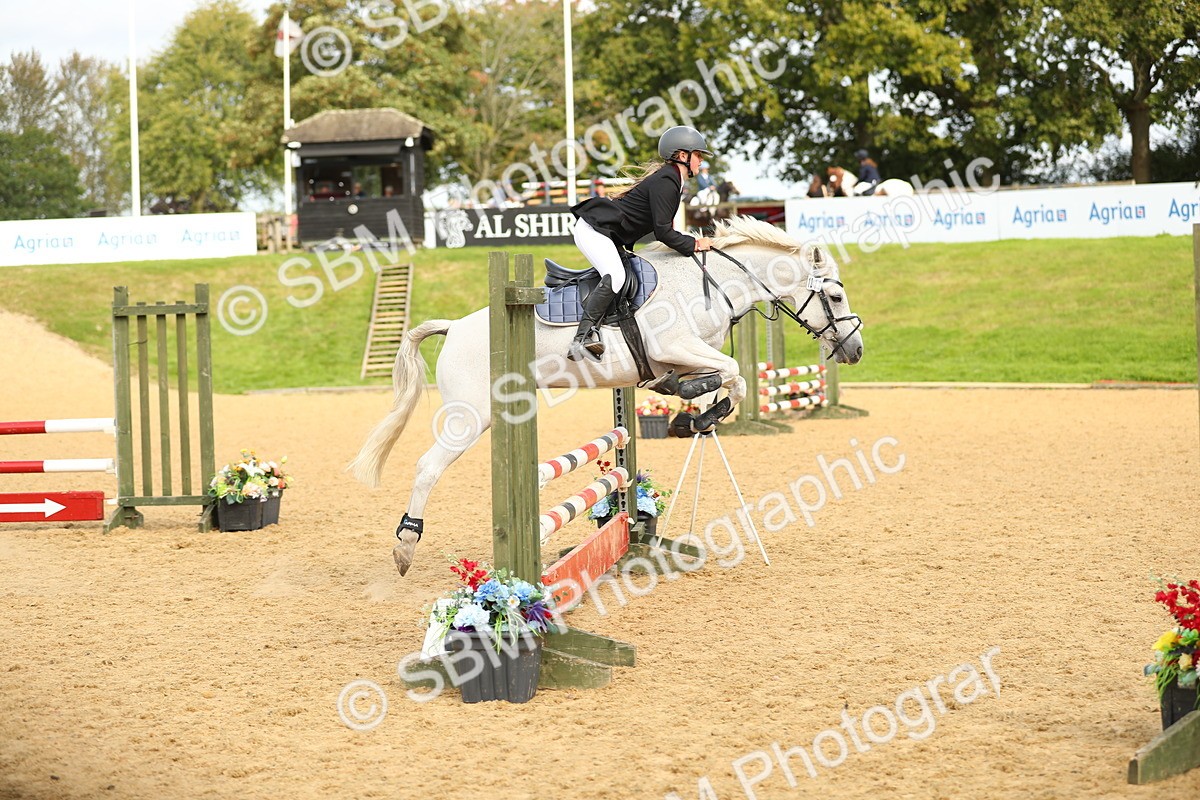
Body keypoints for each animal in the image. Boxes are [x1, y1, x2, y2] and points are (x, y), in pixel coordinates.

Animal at [348, 216, 865, 574]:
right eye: (837, 297)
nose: (856, 350)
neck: (714, 283)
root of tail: (455, 327)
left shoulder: (681, 356)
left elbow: (720, 380)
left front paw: (690, 412)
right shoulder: (674, 345)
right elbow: (734, 373)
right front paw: (693, 408)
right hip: (471, 416)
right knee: (427, 467)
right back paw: (405, 546)